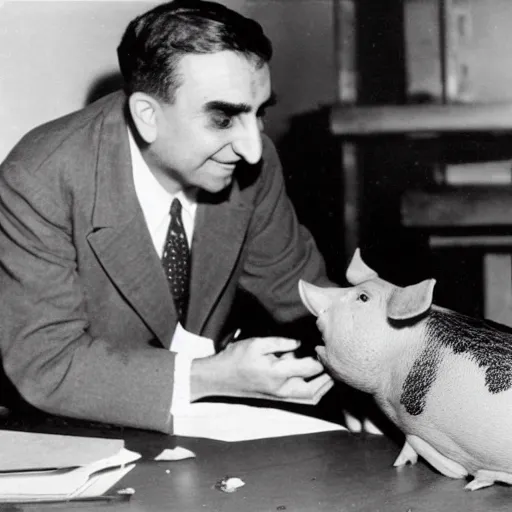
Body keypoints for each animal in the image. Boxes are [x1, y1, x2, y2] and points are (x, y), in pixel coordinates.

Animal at [300, 250, 512, 490]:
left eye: (363, 297)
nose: (302, 287)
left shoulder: (418, 425)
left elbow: (419, 444)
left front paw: (462, 475)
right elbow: (408, 445)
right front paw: (398, 465)